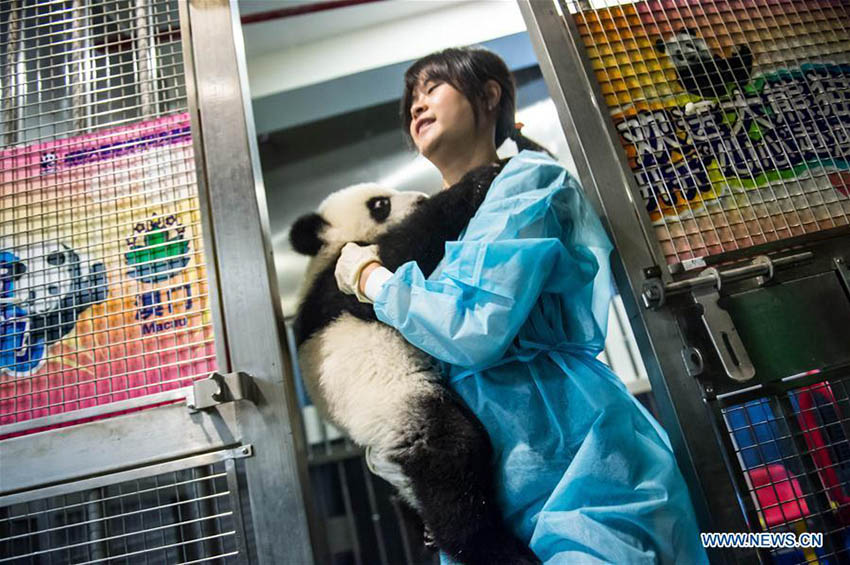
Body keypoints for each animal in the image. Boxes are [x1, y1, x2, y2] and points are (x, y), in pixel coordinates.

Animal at [289, 161, 539, 564]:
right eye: (380, 204)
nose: (421, 197)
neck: (325, 253)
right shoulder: (333, 287)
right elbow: (399, 255)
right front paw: (481, 177)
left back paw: (425, 531)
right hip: (401, 406)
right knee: (451, 462)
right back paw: (491, 547)